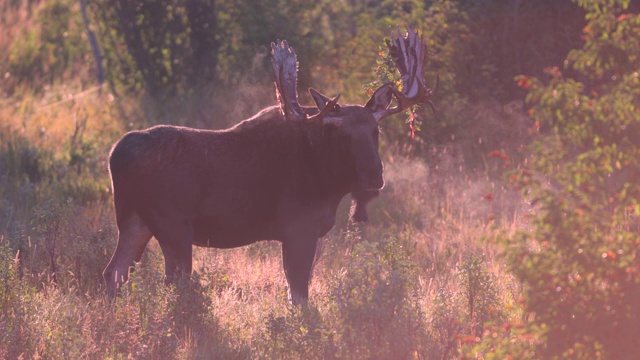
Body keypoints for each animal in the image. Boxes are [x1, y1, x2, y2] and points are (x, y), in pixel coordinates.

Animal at [104, 26, 436, 306]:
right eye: (341, 134)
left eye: (375, 131)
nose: (374, 176)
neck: (329, 183)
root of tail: (115, 155)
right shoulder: (298, 229)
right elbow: (299, 296)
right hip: (173, 227)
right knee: (172, 283)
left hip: (135, 222)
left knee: (114, 273)